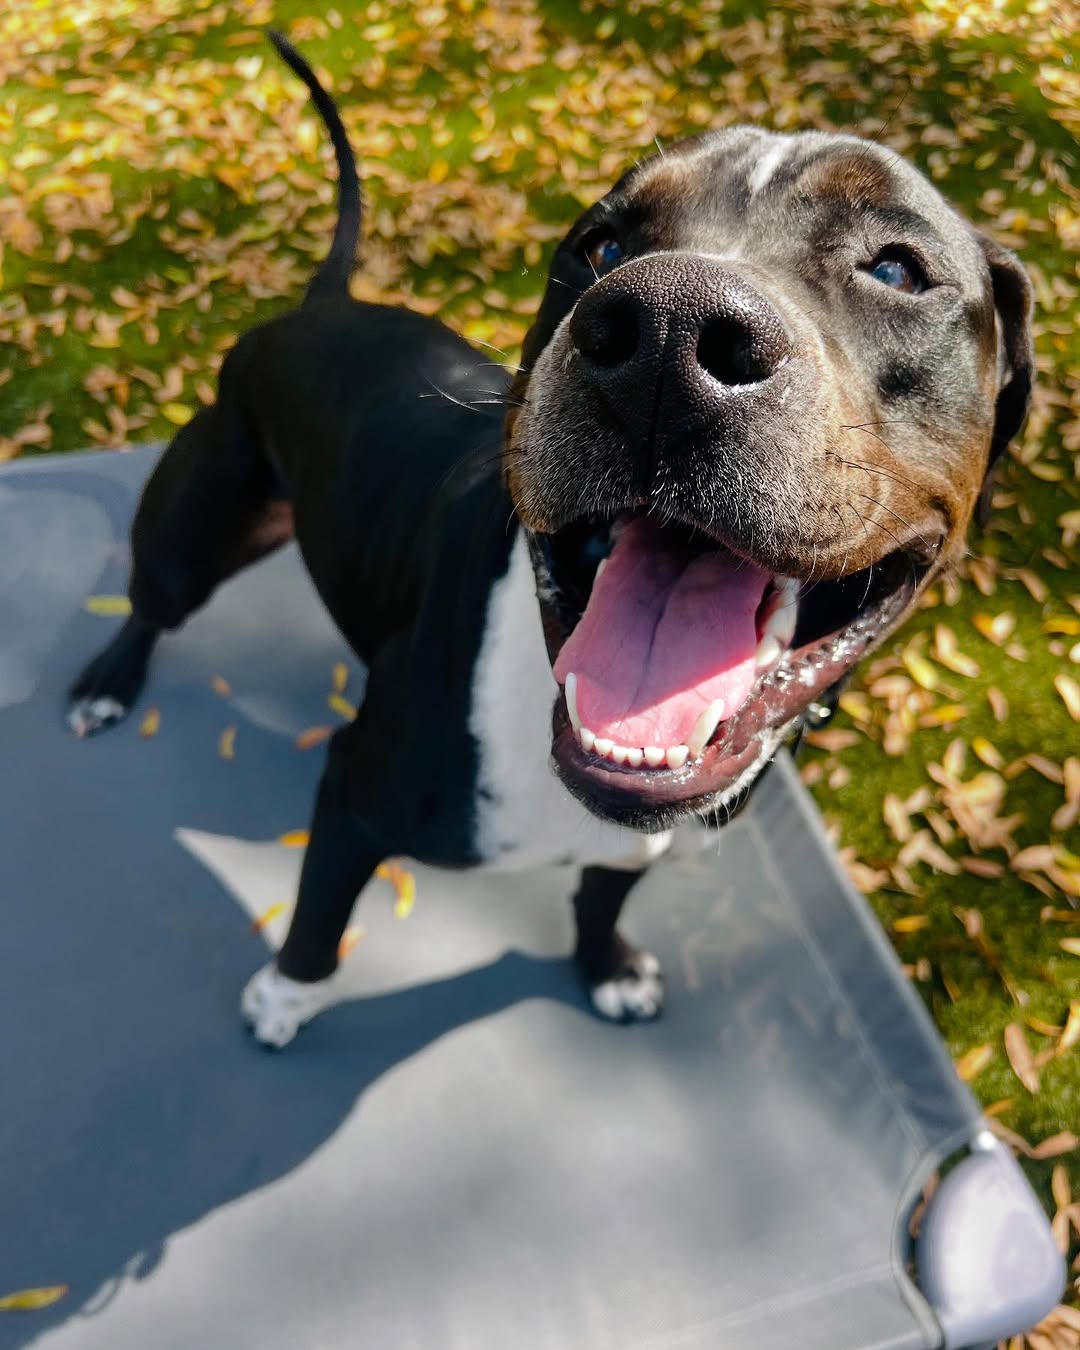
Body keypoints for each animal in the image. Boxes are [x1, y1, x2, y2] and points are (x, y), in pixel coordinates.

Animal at [67, 29, 1031, 1042]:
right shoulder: (354, 795)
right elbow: (319, 918)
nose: (667, 333)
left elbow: (599, 899)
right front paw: (286, 994)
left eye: (896, 270)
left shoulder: (635, 843)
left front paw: (606, 968)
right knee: (152, 602)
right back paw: (108, 683)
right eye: (600, 245)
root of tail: (320, 304)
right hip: (194, 523)